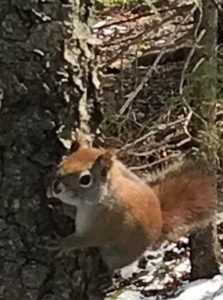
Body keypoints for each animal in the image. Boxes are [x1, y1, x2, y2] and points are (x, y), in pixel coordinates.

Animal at [47, 132, 216, 270]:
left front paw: (61, 244)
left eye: (85, 179)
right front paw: (62, 207)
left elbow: (83, 240)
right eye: (62, 163)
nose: (56, 187)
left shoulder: (102, 227)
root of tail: (160, 219)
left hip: (117, 255)